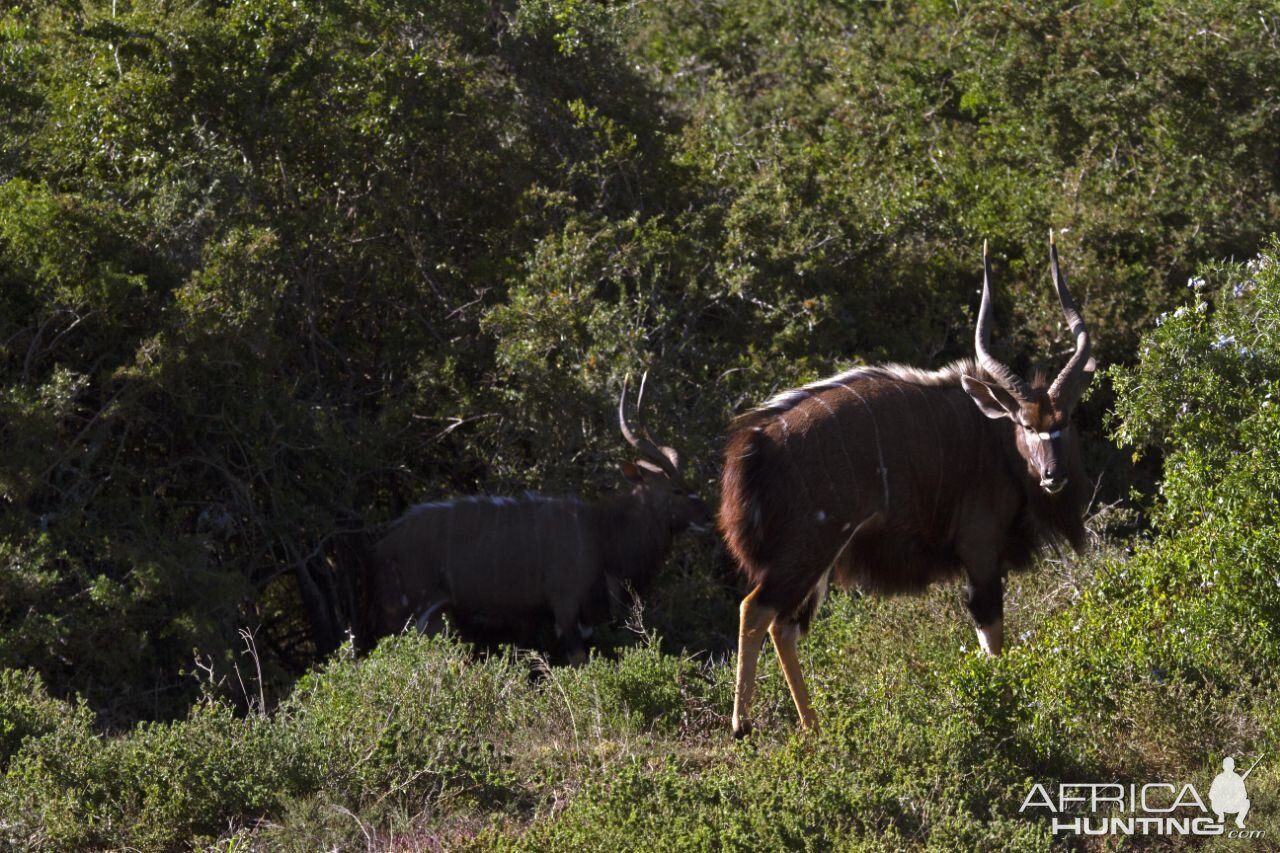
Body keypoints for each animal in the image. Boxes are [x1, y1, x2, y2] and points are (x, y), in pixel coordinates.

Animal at [366, 376, 716, 660]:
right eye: (676, 490)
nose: (709, 515)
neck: (601, 534)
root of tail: (383, 544)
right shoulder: (565, 605)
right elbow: (578, 662)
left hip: (436, 617)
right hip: (403, 613)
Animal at [727, 233, 1095, 732]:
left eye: (1066, 420)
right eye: (1025, 424)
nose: (1054, 476)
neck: (993, 438)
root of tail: (757, 440)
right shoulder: (980, 549)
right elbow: (992, 633)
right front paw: (1004, 706)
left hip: (817, 560)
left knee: (783, 623)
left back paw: (814, 727)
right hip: (810, 545)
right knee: (757, 608)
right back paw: (744, 726)